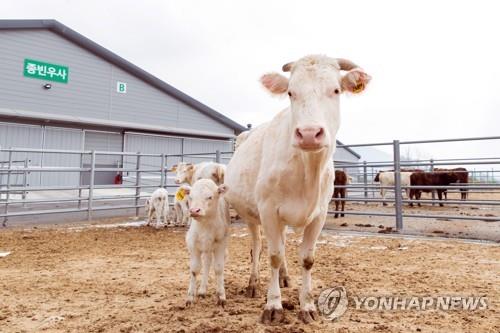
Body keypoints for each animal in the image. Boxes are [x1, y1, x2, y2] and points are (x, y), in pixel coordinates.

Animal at [225, 55, 370, 324]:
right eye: (291, 92)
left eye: (336, 90)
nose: (309, 134)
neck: (307, 170)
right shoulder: (268, 210)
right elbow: (272, 255)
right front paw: (273, 305)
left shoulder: (320, 214)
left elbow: (307, 259)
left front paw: (307, 306)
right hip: (250, 215)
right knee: (257, 247)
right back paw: (253, 283)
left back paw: (284, 277)